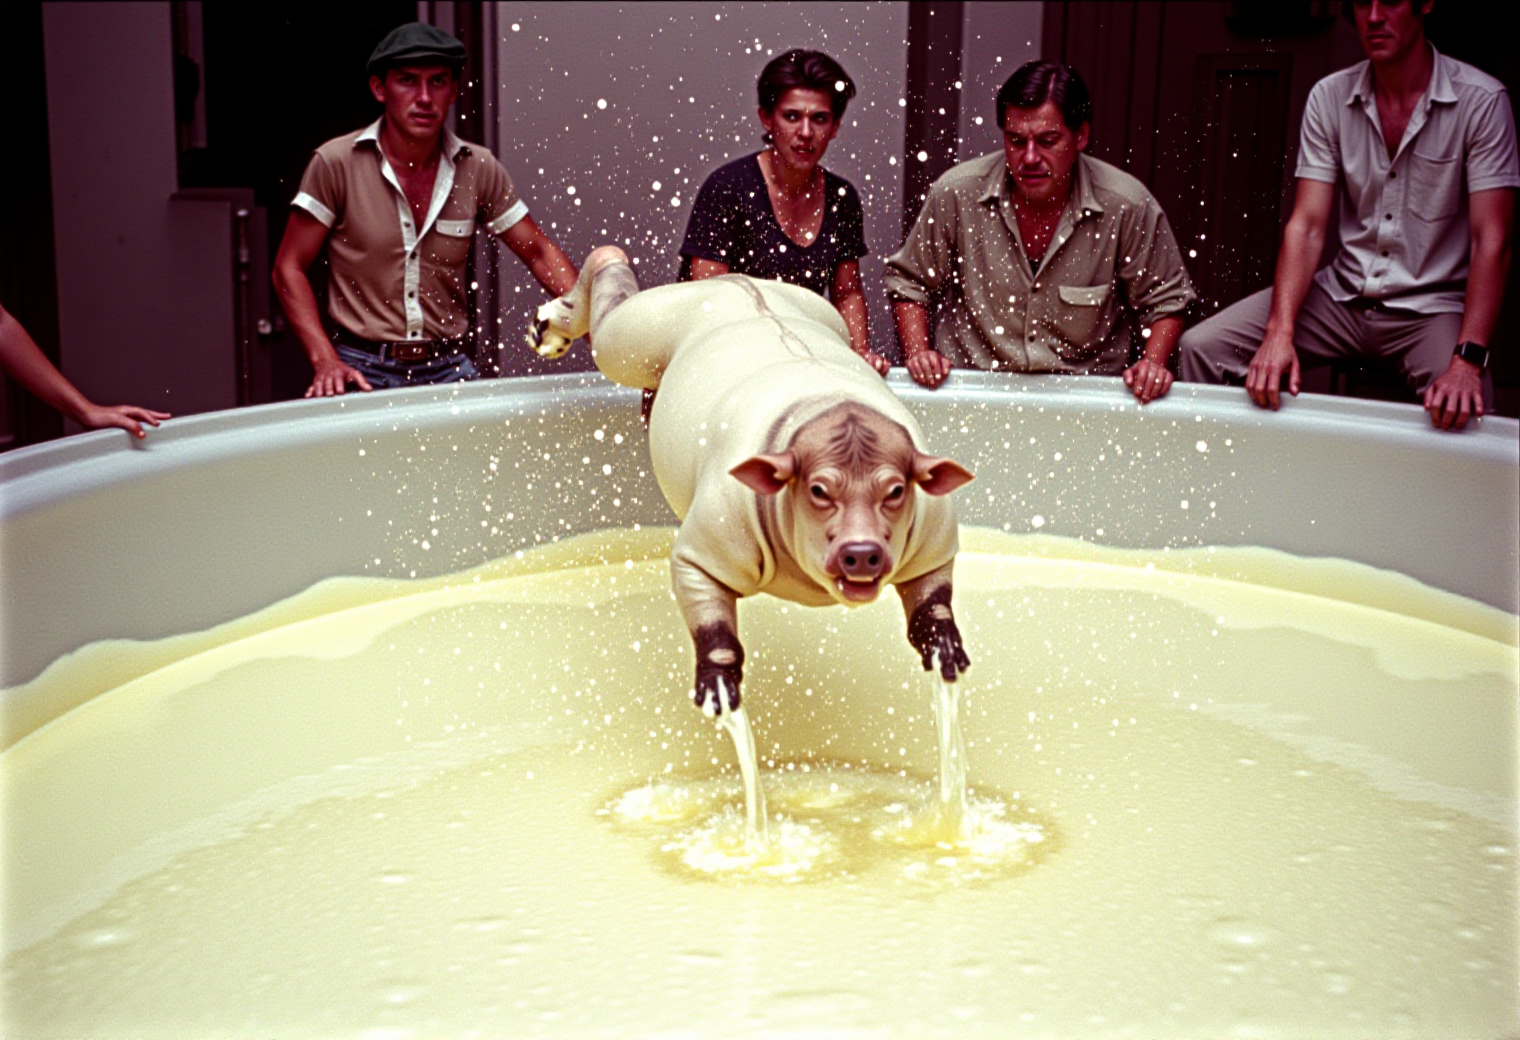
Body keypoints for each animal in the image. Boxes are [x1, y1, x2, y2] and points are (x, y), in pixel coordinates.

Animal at [529, 246, 974, 715]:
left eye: (895, 491)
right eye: (818, 491)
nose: (862, 551)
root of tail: (738, 282)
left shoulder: (933, 537)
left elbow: (932, 599)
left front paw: (944, 650)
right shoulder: (709, 544)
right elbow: (713, 622)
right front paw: (719, 688)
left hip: (821, 310)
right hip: (649, 323)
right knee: (611, 322)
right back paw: (549, 327)